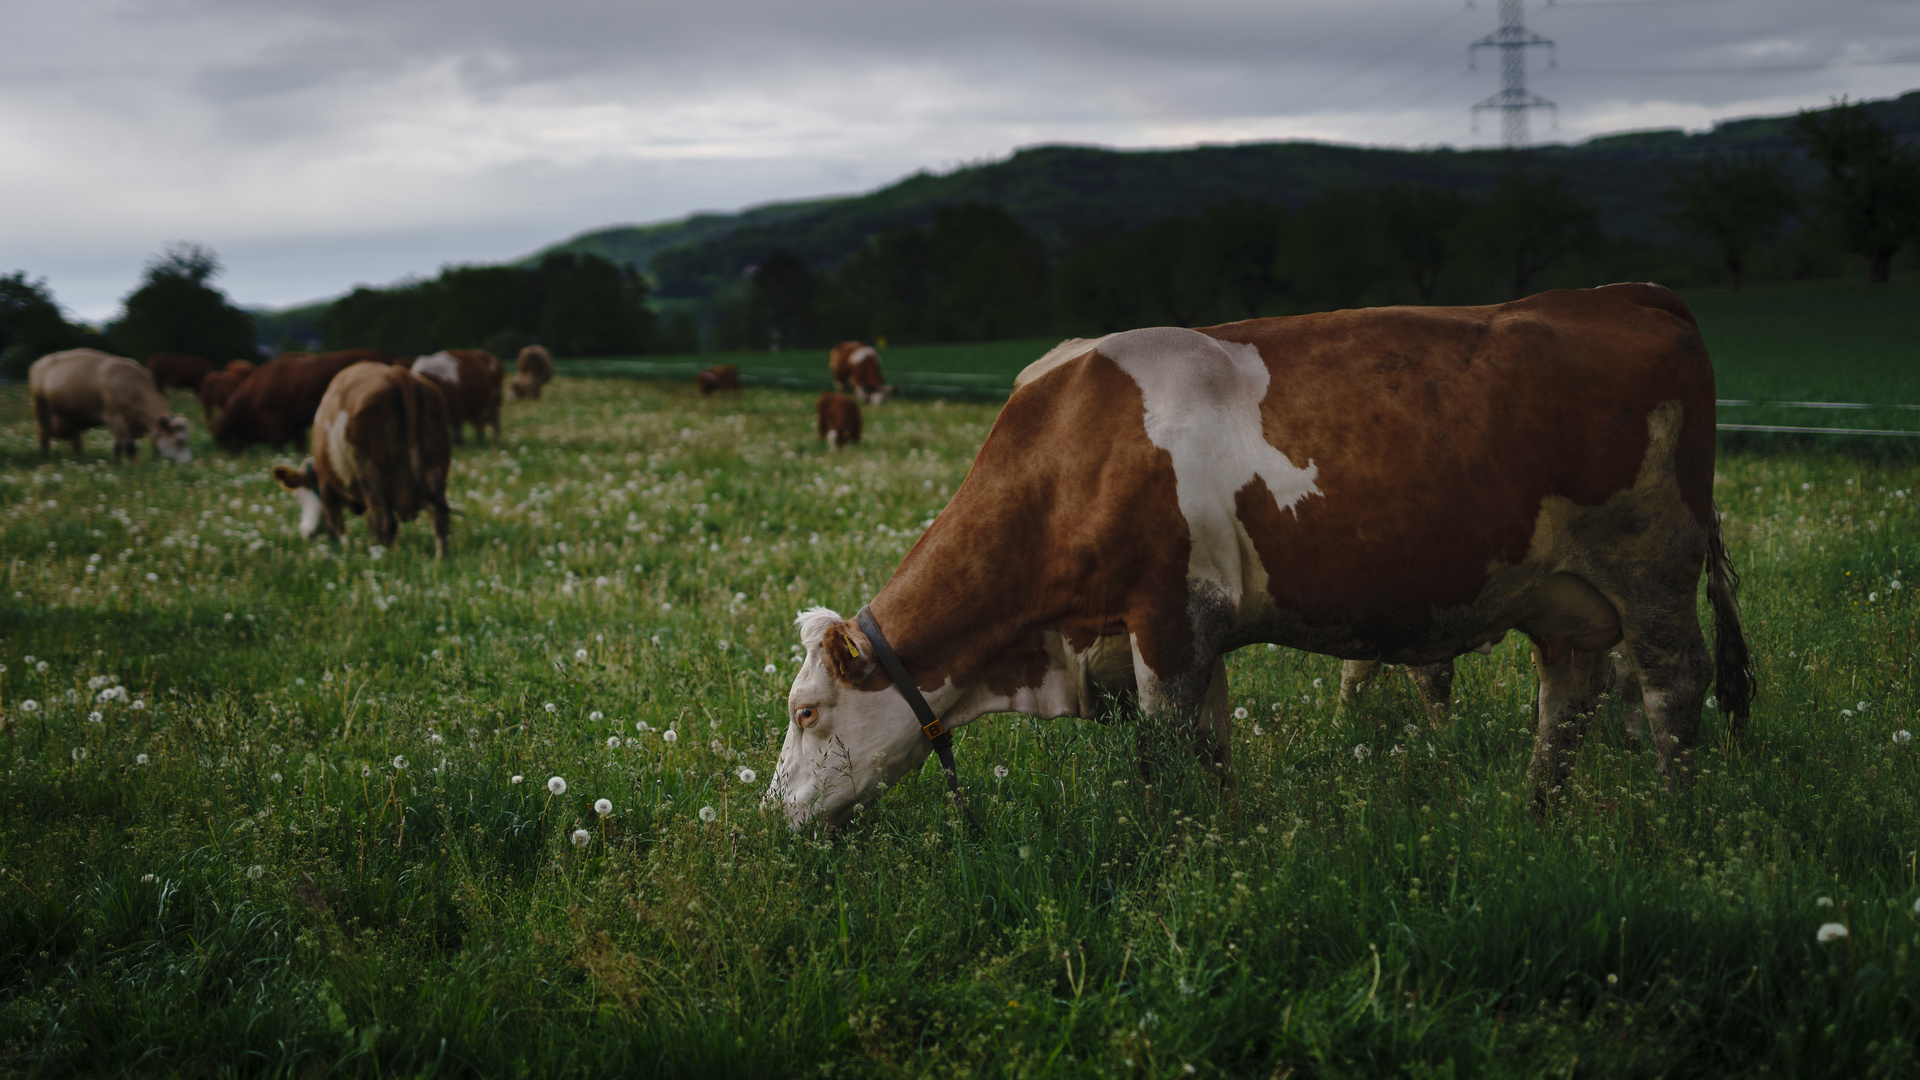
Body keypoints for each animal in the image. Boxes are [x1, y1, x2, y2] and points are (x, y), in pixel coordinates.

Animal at [31, 349, 192, 457]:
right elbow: (126, 447)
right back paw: (45, 455)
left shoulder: (127, 424)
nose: (186, 465)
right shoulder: (116, 418)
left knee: (74, 440)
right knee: (43, 433)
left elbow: (120, 446)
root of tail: (39, 363)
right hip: (41, 408)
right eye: (179, 441)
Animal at [270, 361, 453, 553]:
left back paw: (379, 555)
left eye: (300, 496)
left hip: (369, 468)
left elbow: (336, 527)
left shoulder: (327, 488)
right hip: (434, 463)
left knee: (383, 522)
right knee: (439, 519)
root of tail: (398, 373)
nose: (305, 531)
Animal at [764, 282, 1758, 818]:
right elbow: (1214, 752)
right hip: (1565, 598)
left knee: (1673, 691)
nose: (774, 815)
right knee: (1568, 700)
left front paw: (1172, 860)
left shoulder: (1170, 615)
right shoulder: (1189, 632)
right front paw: (1225, 843)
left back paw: (1672, 820)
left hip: (1652, 567)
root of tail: (1628, 295)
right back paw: (1539, 814)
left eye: (806, 712)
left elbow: (1168, 761)